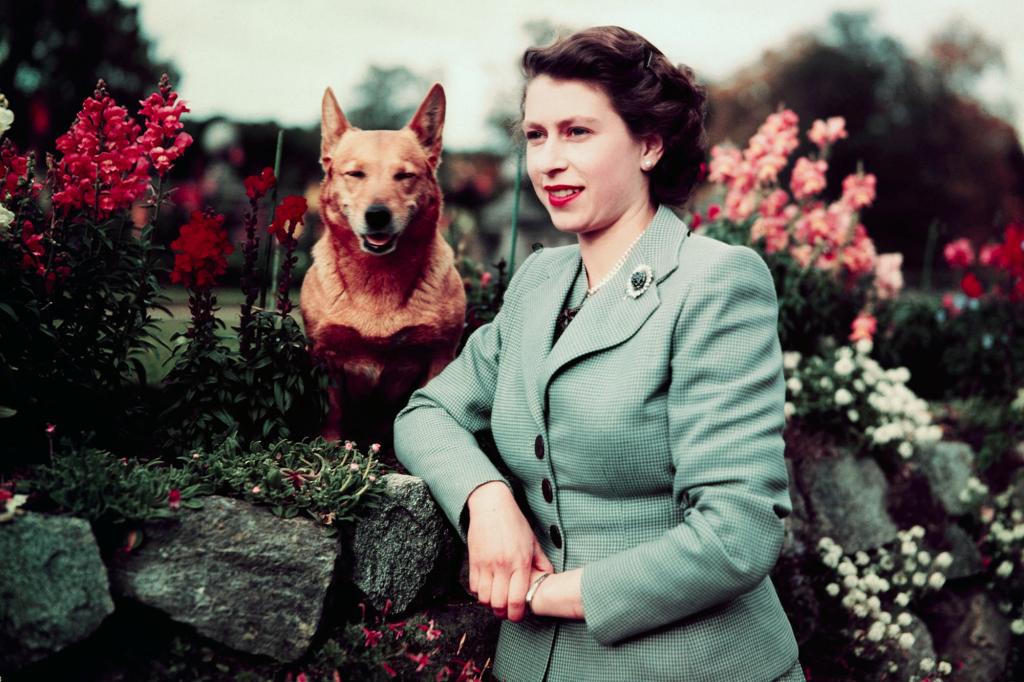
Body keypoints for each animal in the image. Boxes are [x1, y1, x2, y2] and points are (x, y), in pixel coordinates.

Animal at [299, 82, 468, 450]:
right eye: (355, 174)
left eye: (404, 175)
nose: (377, 215)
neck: (378, 279)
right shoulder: (325, 355)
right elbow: (332, 415)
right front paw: (329, 451)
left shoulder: (439, 356)